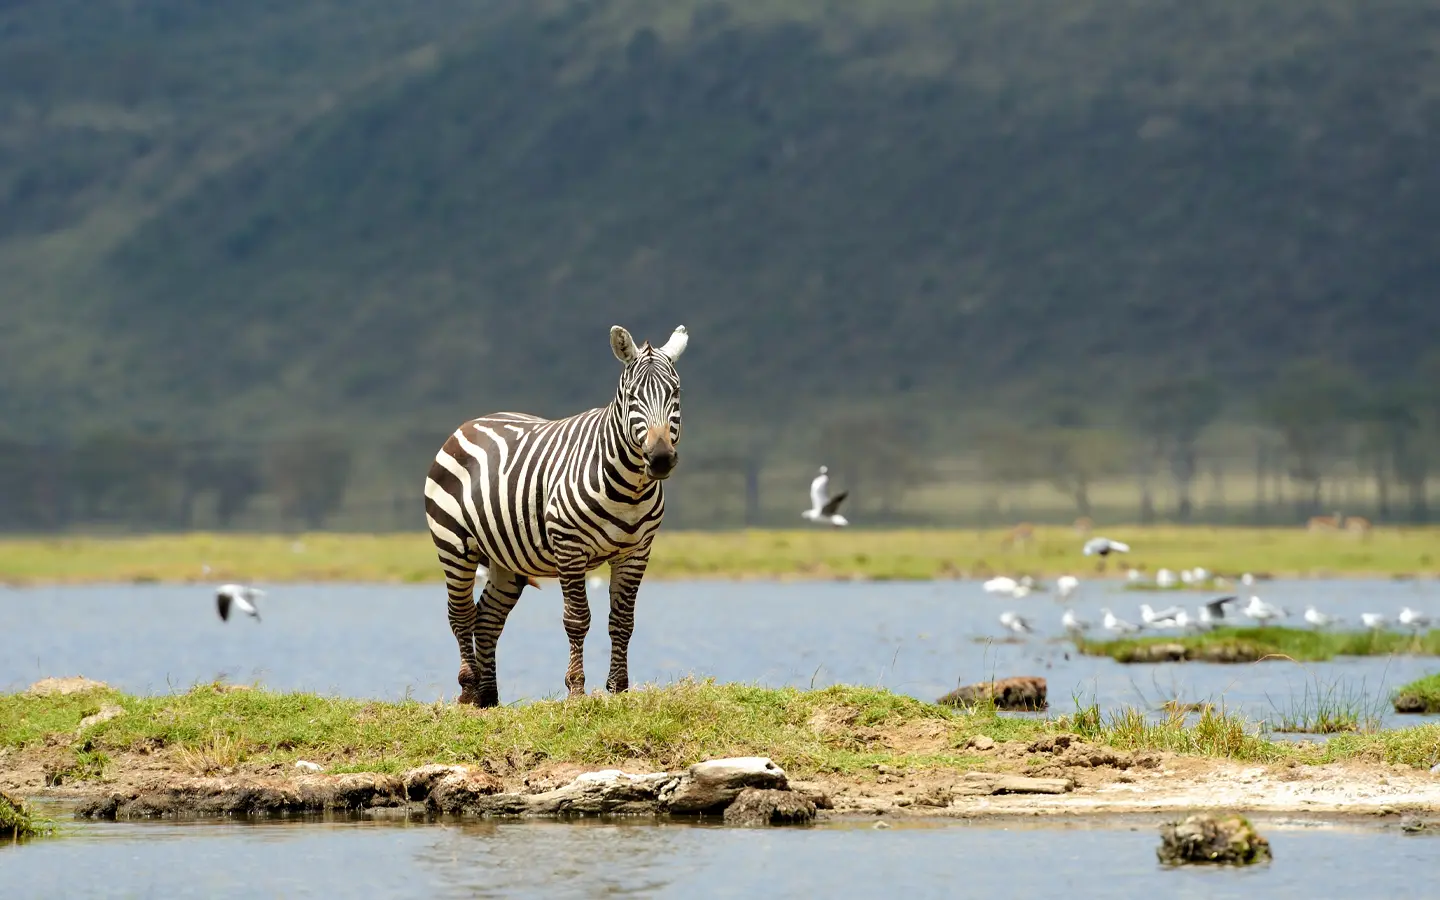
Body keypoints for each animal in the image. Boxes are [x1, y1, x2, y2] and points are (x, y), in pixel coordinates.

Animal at [424, 324, 688, 707]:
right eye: (632, 396)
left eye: (675, 392)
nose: (661, 458)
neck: (629, 488)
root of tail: (471, 423)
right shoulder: (569, 546)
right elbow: (577, 619)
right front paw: (576, 689)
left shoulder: (636, 552)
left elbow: (623, 621)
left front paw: (618, 689)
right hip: (454, 544)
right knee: (460, 614)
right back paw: (469, 690)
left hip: (507, 559)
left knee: (487, 619)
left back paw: (489, 697)